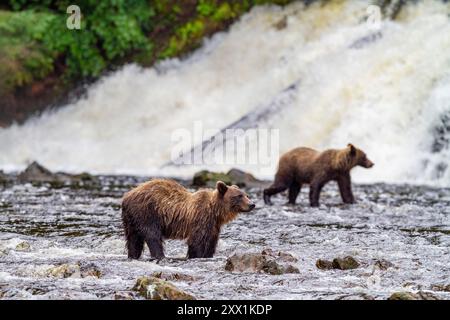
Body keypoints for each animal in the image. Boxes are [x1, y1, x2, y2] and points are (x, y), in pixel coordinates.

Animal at [121, 180, 255, 260]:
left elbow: (210, 243)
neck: (215, 212)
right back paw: (160, 256)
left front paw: (208, 255)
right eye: (239, 196)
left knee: (133, 240)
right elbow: (197, 242)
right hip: (147, 213)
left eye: (246, 195)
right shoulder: (200, 219)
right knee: (153, 236)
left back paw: (133, 255)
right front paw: (197, 256)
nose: (252, 204)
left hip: (131, 219)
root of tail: (126, 196)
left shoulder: (214, 227)